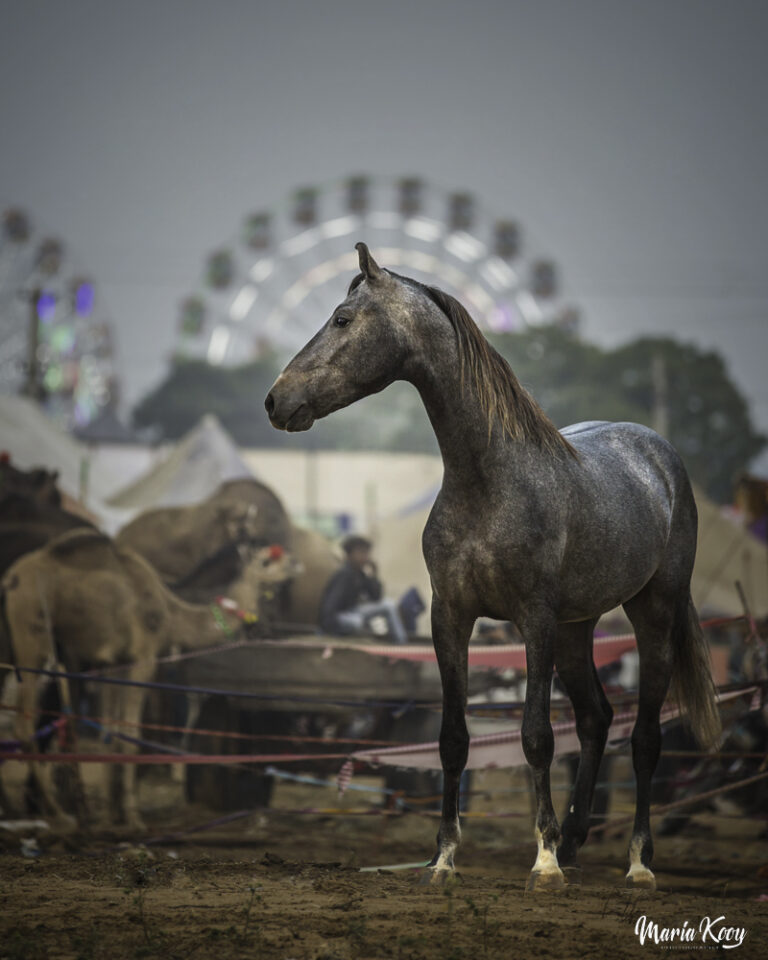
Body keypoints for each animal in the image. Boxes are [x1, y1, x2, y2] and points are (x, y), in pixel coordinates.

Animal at [265, 242, 721, 892]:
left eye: (343, 319)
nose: (277, 401)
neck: (488, 481)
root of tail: (662, 458)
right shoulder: (451, 617)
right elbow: (453, 740)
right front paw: (444, 859)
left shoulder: (533, 622)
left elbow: (535, 736)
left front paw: (544, 862)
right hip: (578, 629)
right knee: (596, 720)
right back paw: (576, 840)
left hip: (650, 615)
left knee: (644, 738)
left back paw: (636, 861)